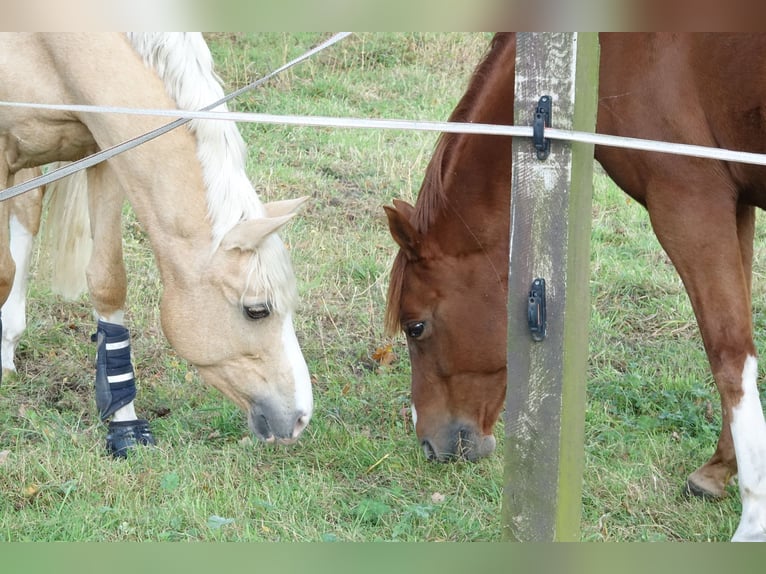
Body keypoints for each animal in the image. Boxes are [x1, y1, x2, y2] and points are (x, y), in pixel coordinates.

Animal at [0, 33, 314, 456]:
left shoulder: (104, 150)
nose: (300, 418)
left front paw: (124, 424)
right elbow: (4, 272)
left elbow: (108, 281)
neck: (52, 46)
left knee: (28, 209)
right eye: (257, 311)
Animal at [388, 32, 766, 544]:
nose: (430, 445)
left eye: (416, 327)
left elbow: (728, 354)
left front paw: (752, 522)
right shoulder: (735, 203)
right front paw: (718, 470)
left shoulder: (689, 204)